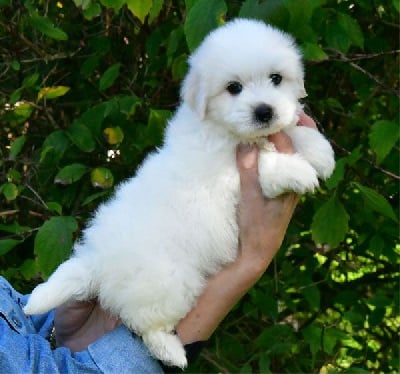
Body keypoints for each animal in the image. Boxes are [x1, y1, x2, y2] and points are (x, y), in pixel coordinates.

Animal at [23, 19, 332, 366]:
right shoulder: (228, 177)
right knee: (144, 323)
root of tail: (96, 261)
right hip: (169, 283)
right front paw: (298, 171)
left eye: (277, 79)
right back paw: (171, 352)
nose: (264, 111)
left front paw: (320, 152)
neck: (227, 132)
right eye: (233, 88)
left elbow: (292, 133)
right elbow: (266, 162)